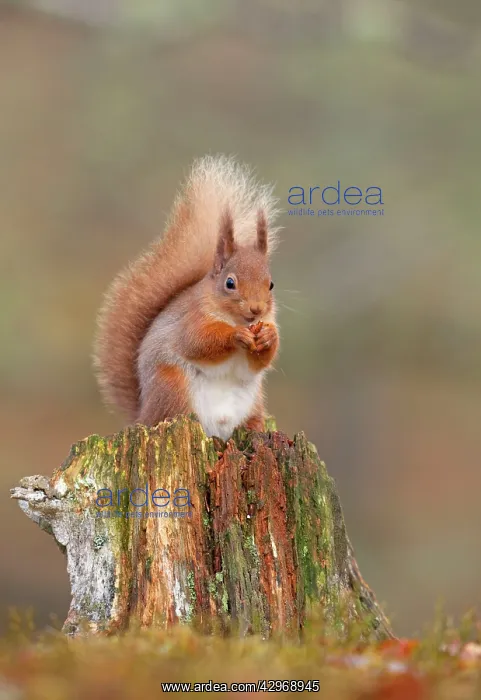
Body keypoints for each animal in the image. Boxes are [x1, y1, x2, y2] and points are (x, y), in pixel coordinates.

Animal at [93, 155, 281, 441]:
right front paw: (235, 336)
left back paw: (255, 428)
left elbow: (259, 362)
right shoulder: (192, 318)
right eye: (230, 283)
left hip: (254, 400)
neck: (235, 319)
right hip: (173, 386)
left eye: (270, 284)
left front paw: (268, 337)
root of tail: (143, 415)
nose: (257, 309)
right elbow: (197, 342)